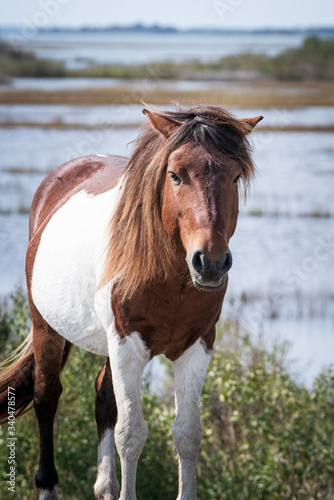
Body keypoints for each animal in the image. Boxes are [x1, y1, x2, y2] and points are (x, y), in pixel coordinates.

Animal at [0, 103, 260, 498]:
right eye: (175, 176)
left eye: (235, 177)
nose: (211, 262)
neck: (170, 282)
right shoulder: (126, 343)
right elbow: (131, 434)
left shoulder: (197, 346)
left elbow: (188, 435)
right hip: (46, 326)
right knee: (47, 396)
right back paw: (47, 485)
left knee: (103, 398)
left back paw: (105, 486)